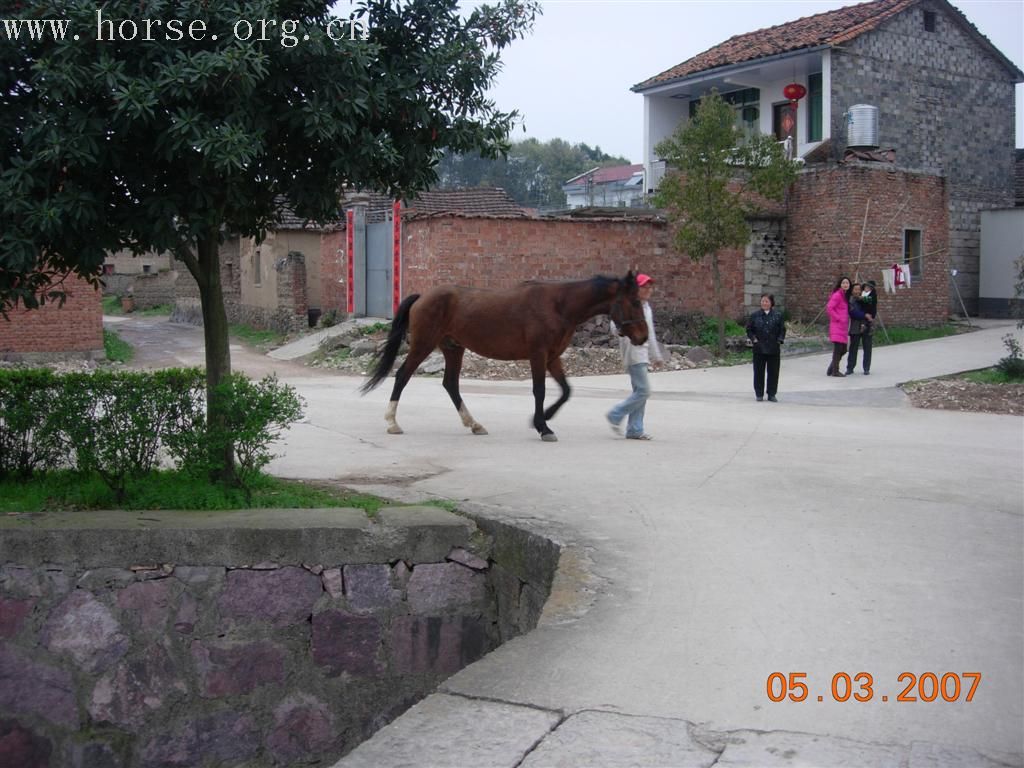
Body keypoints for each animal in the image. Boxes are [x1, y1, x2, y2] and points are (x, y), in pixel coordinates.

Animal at [360, 272, 647, 442]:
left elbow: (566, 390)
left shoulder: (553, 357)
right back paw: (392, 423)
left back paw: (474, 424)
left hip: (454, 349)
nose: (643, 337)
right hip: (424, 345)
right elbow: (540, 390)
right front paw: (543, 427)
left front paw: (544, 419)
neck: (558, 305)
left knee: (450, 384)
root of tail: (423, 296)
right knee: (402, 376)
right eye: (634, 302)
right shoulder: (538, 355)